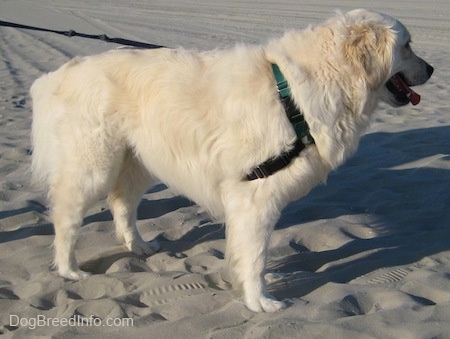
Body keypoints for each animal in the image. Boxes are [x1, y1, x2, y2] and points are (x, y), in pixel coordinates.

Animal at [29, 9, 430, 314]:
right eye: (407, 45)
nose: (432, 70)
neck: (301, 91)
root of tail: (56, 75)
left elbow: (245, 252)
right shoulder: (254, 197)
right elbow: (255, 256)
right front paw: (260, 300)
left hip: (138, 161)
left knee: (121, 203)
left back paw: (137, 246)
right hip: (93, 167)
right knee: (66, 217)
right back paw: (69, 270)